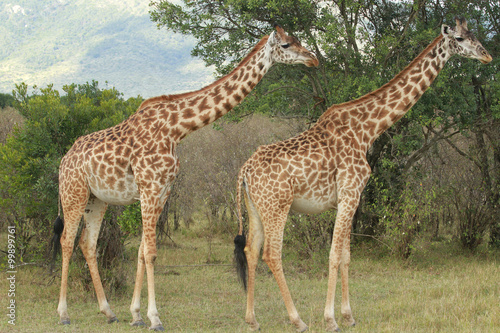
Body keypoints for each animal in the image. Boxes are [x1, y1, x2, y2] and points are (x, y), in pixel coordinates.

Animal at [52, 24, 318, 330]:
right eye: (286, 45)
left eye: (297, 40)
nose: (312, 59)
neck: (177, 129)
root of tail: (64, 159)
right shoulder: (150, 186)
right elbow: (151, 252)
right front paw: (155, 318)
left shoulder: (162, 190)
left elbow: (142, 251)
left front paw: (136, 314)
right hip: (73, 193)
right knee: (67, 241)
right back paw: (63, 313)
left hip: (97, 199)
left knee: (87, 244)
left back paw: (108, 311)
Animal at [234, 18, 492, 332]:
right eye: (460, 38)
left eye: (473, 34)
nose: (486, 56)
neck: (367, 130)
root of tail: (245, 170)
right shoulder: (349, 193)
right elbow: (334, 255)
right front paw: (331, 319)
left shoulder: (350, 198)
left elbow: (346, 256)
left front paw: (348, 315)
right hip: (277, 207)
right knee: (272, 253)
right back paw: (298, 319)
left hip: (256, 208)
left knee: (251, 250)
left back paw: (252, 319)